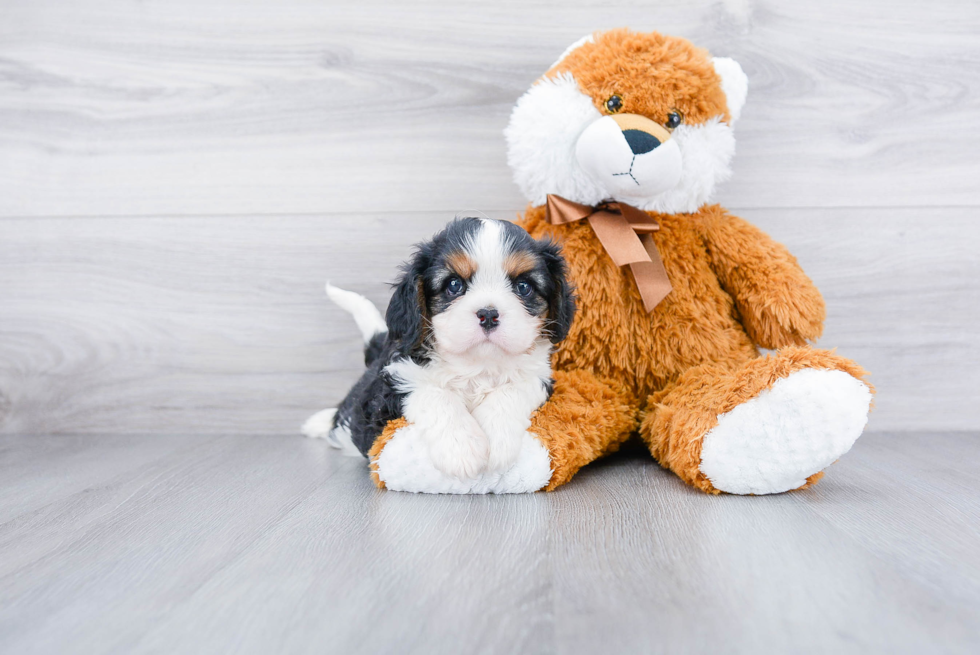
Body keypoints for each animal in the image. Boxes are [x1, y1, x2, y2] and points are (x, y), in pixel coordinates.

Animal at [308, 218, 576, 480]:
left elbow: (513, 390)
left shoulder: (540, 378)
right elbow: (432, 393)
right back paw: (320, 422)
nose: (488, 314)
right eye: (454, 284)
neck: (477, 364)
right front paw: (461, 448)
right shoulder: (391, 387)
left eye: (523, 287)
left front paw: (495, 439)